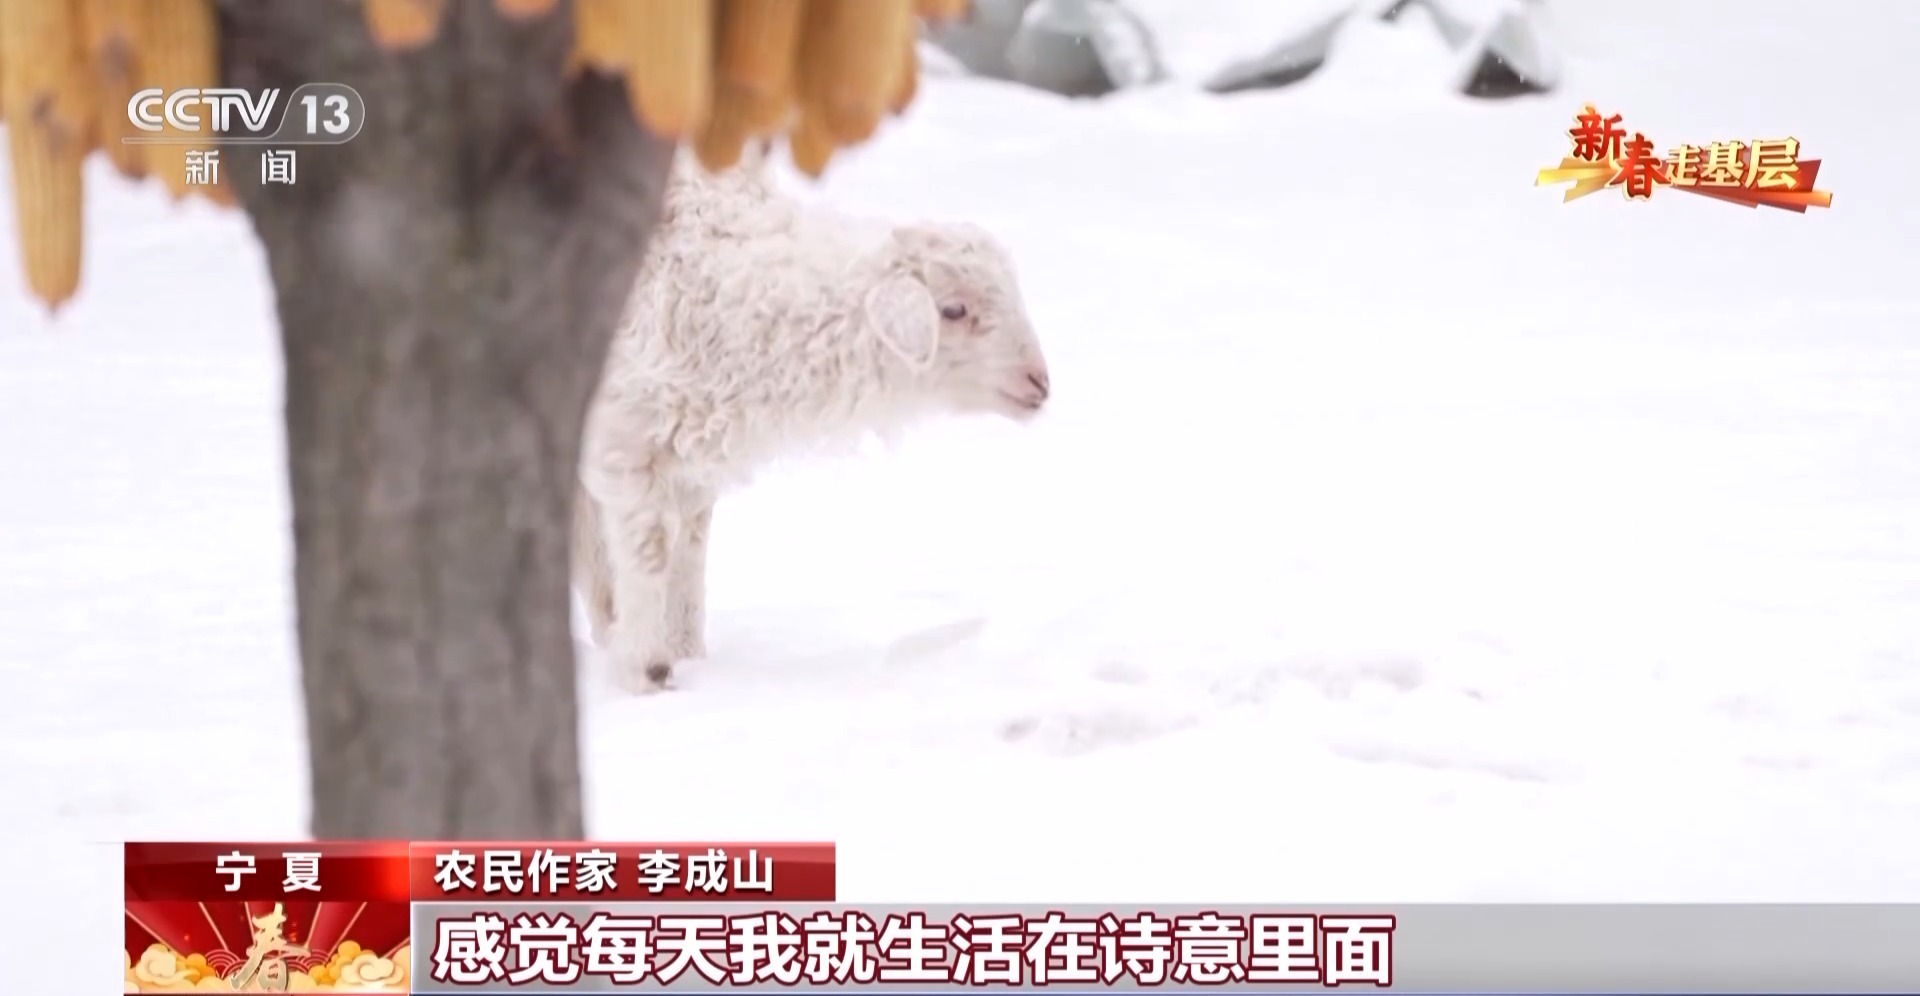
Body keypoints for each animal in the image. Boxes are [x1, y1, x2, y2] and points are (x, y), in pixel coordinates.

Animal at [576, 154, 1052, 692]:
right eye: (953, 309)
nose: (1039, 381)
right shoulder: (625, 441)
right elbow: (648, 550)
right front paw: (646, 668)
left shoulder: (685, 463)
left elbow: (687, 552)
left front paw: (684, 653)